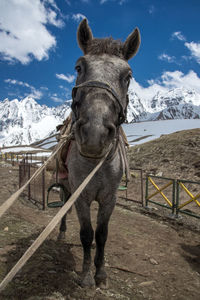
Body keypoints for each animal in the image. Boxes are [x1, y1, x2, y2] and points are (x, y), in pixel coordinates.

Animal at [58, 19, 141, 288]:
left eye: (128, 77)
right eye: (79, 67)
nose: (94, 134)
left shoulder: (108, 198)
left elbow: (102, 234)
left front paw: (100, 273)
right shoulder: (81, 195)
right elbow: (86, 233)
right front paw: (85, 275)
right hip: (67, 187)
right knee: (64, 206)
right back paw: (61, 233)